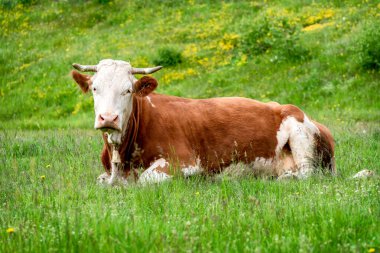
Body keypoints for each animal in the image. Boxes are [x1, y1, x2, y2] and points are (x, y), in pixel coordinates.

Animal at [71, 59, 336, 186]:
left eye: (128, 90)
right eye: (94, 88)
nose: (108, 118)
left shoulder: (184, 162)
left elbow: (146, 179)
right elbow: (101, 181)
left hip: (300, 135)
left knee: (307, 174)